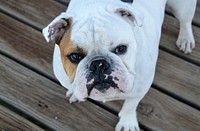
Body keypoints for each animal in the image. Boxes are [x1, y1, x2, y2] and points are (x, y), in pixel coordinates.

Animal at [42, 0, 197, 130]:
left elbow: (130, 105)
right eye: (74, 56)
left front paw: (127, 123)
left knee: (185, 21)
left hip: (182, 6)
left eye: (121, 48)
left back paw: (185, 38)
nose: (98, 64)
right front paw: (74, 92)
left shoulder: (140, 89)